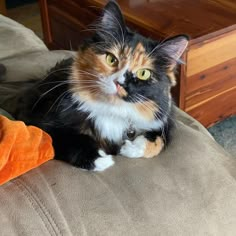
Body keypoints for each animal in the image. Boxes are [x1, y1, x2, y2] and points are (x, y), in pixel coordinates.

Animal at [0, 0, 188, 172]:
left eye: (143, 73)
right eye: (111, 59)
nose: (119, 83)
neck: (113, 111)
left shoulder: (165, 122)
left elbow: (157, 141)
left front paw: (129, 148)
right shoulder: (41, 122)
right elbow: (71, 139)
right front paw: (101, 159)